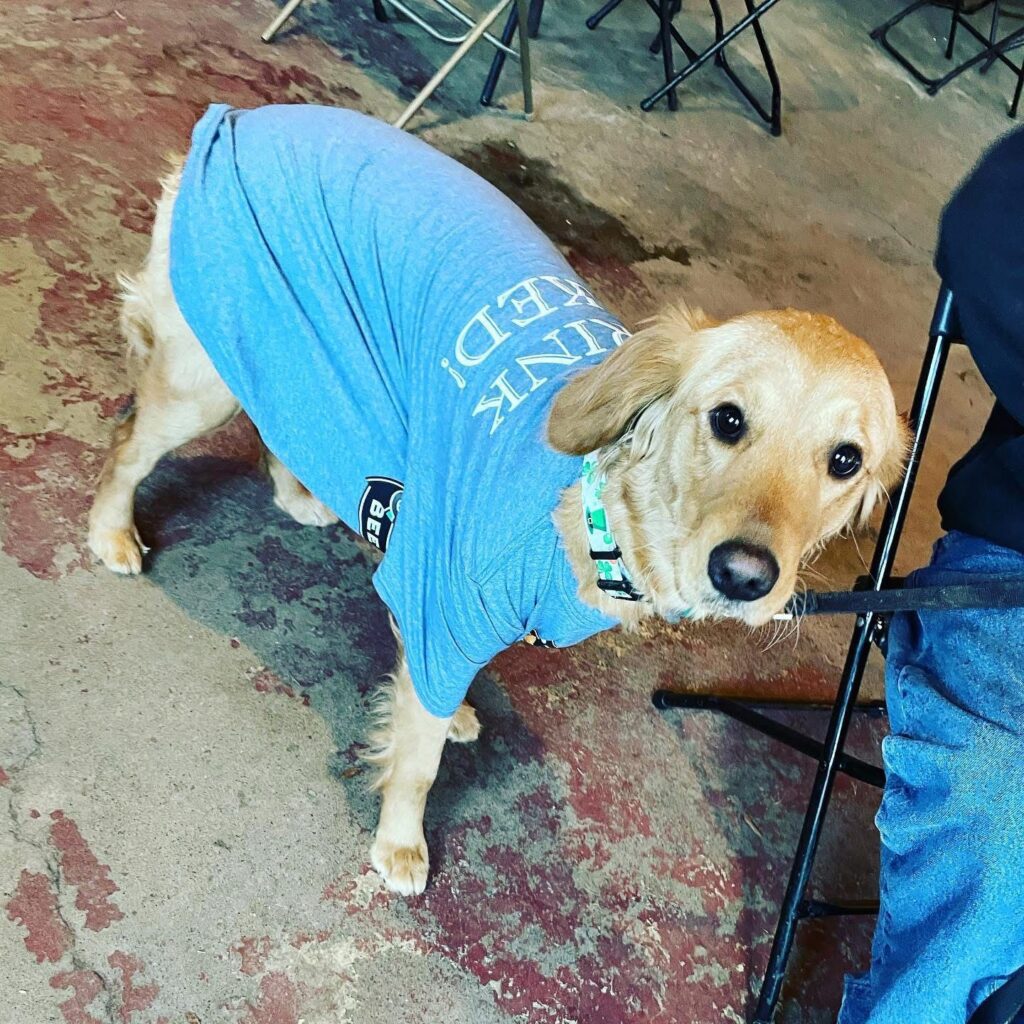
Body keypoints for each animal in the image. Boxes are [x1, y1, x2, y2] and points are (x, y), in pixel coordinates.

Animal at [88, 104, 909, 896]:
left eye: (846, 460)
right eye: (728, 419)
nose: (745, 576)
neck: (599, 517)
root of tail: (235, 118)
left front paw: (448, 713)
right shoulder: (448, 595)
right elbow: (418, 760)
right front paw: (402, 843)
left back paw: (294, 493)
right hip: (205, 378)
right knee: (129, 445)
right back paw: (112, 531)